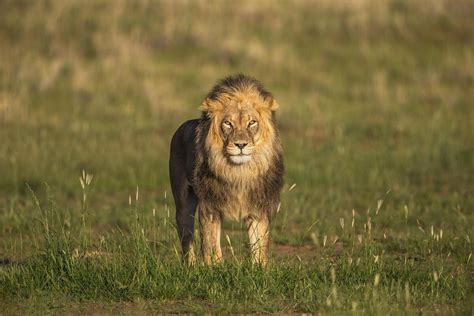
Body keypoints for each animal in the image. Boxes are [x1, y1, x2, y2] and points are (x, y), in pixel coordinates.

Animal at [168, 73, 284, 264]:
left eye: (252, 123)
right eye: (228, 124)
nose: (240, 145)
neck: (239, 172)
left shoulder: (258, 208)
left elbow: (259, 247)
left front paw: (260, 268)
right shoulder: (210, 207)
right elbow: (211, 245)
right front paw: (214, 268)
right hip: (183, 201)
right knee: (186, 235)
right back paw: (190, 266)